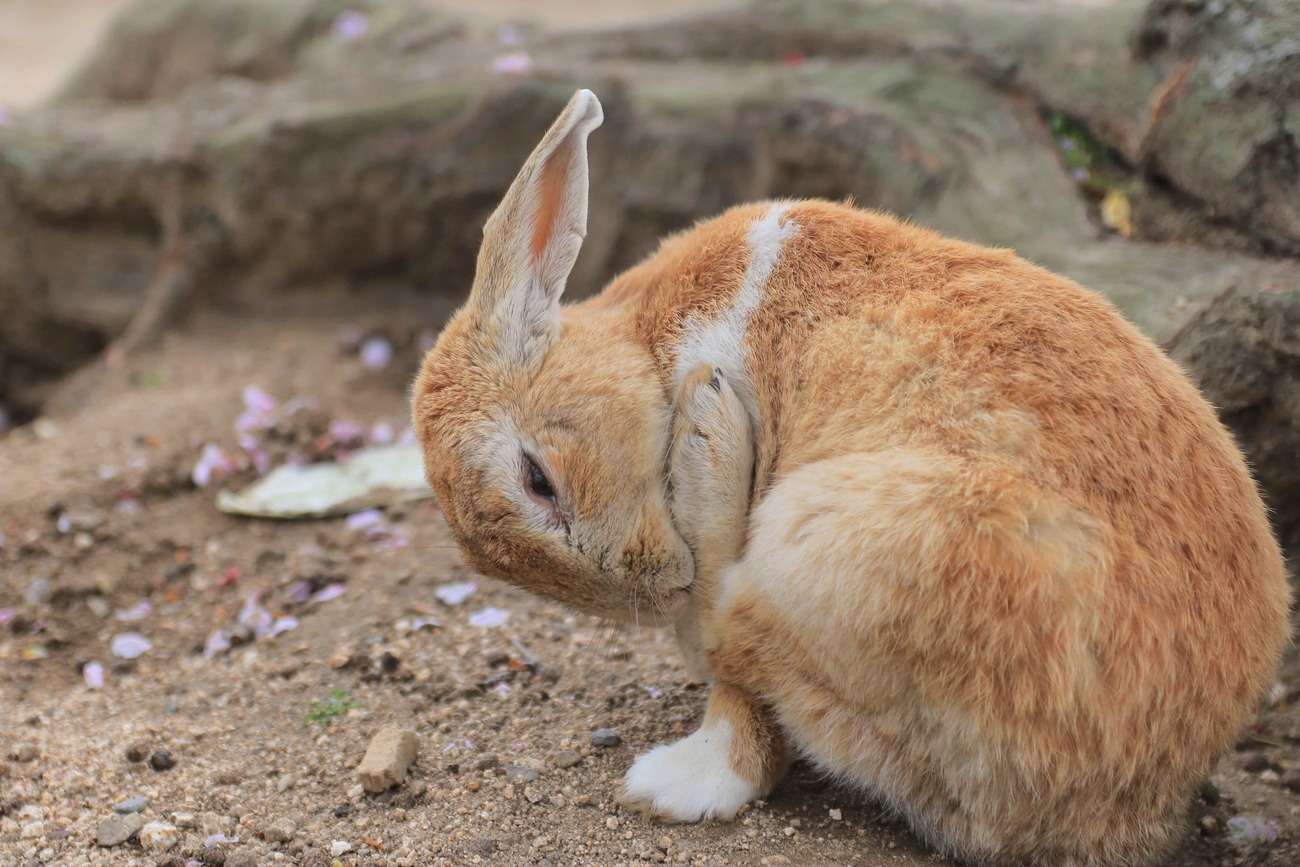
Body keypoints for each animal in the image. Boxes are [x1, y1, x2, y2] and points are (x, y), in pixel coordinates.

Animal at [411, 89, 1291, 866]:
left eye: (537, 479)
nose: (656, 587)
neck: (649, 348)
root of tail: (1128, 804)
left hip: (836, 544)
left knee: (733, 637)